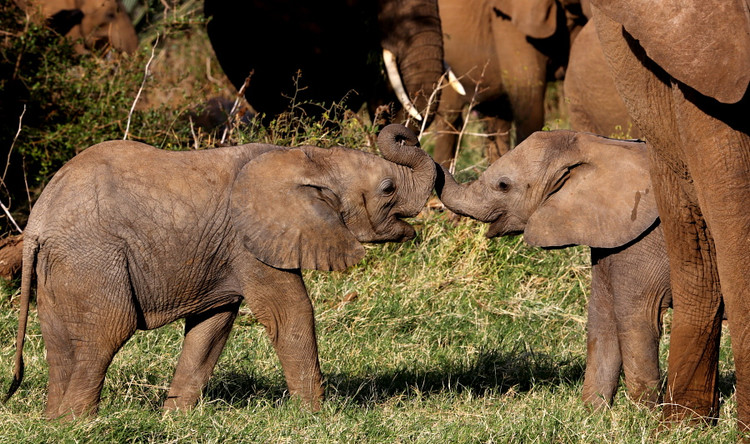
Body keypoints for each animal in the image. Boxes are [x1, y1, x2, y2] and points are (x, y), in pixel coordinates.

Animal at [5, 124, 438, 416]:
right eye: (387, 189)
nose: (406, 135)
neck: (308, 159)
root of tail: (37, 222)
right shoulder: (249, 242)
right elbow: (290, 314)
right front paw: (317, 417)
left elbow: (210, 328)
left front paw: (174, 420)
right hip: (93, 258)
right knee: (107, 333)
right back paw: (81, 424)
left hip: (59, 267)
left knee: (61, 344)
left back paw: (56, 423)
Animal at [434, 130, 676, 408]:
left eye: (503, 185)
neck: (599, 146)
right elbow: (601, 315)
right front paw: (593, 412)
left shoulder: (646, 239)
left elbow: (636, 316)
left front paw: (641, 413)